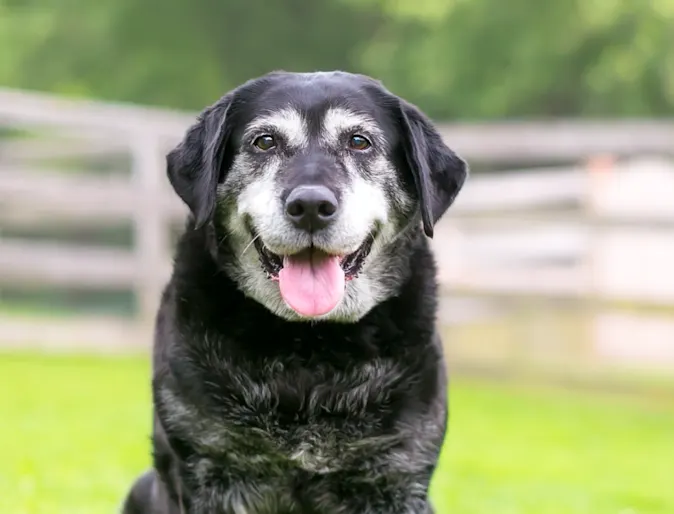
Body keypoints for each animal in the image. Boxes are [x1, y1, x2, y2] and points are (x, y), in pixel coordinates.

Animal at [121, 69, 464, 512]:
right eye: (265, 141)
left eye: (359, 141)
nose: (311, 205)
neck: (310, 346)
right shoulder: (209, 466)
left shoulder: (395, 475)